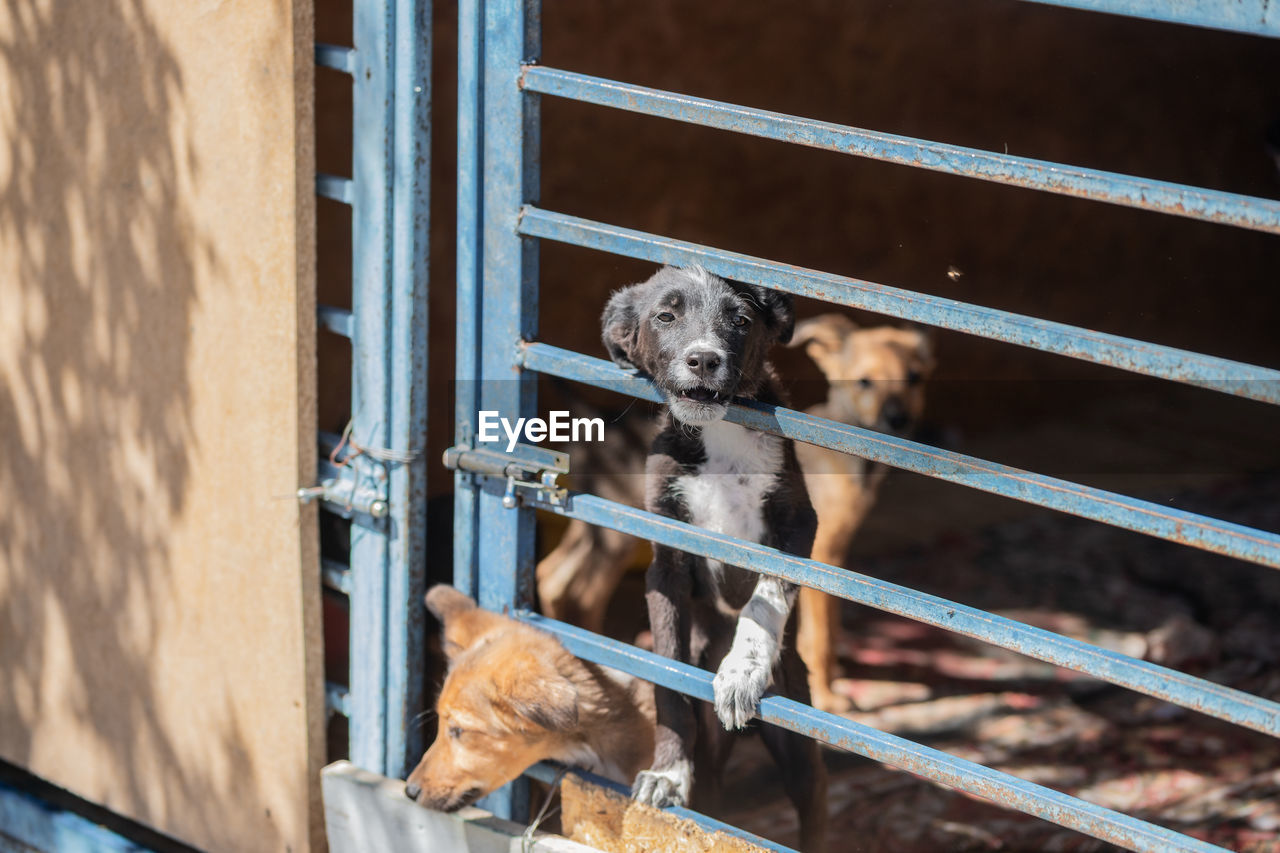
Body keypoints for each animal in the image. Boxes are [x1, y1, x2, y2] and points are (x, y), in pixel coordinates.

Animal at [601, 262, 829, 845]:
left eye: (741, 320)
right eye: (665, 316)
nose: (703, 359)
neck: (718, 435)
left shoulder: (798, 524)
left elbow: (765, 597)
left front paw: (740, 673)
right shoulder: (666, 561)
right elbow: (668, 678)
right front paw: (666, 774)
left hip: (798, 740)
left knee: (811, 802)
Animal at [783, 312, 936, 712]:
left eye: (915, 377)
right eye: (864, 381)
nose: (898, 420)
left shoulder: (837, 556)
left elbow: (828, 629)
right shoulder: (817, 556)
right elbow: (820, 637)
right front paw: (824, 697)